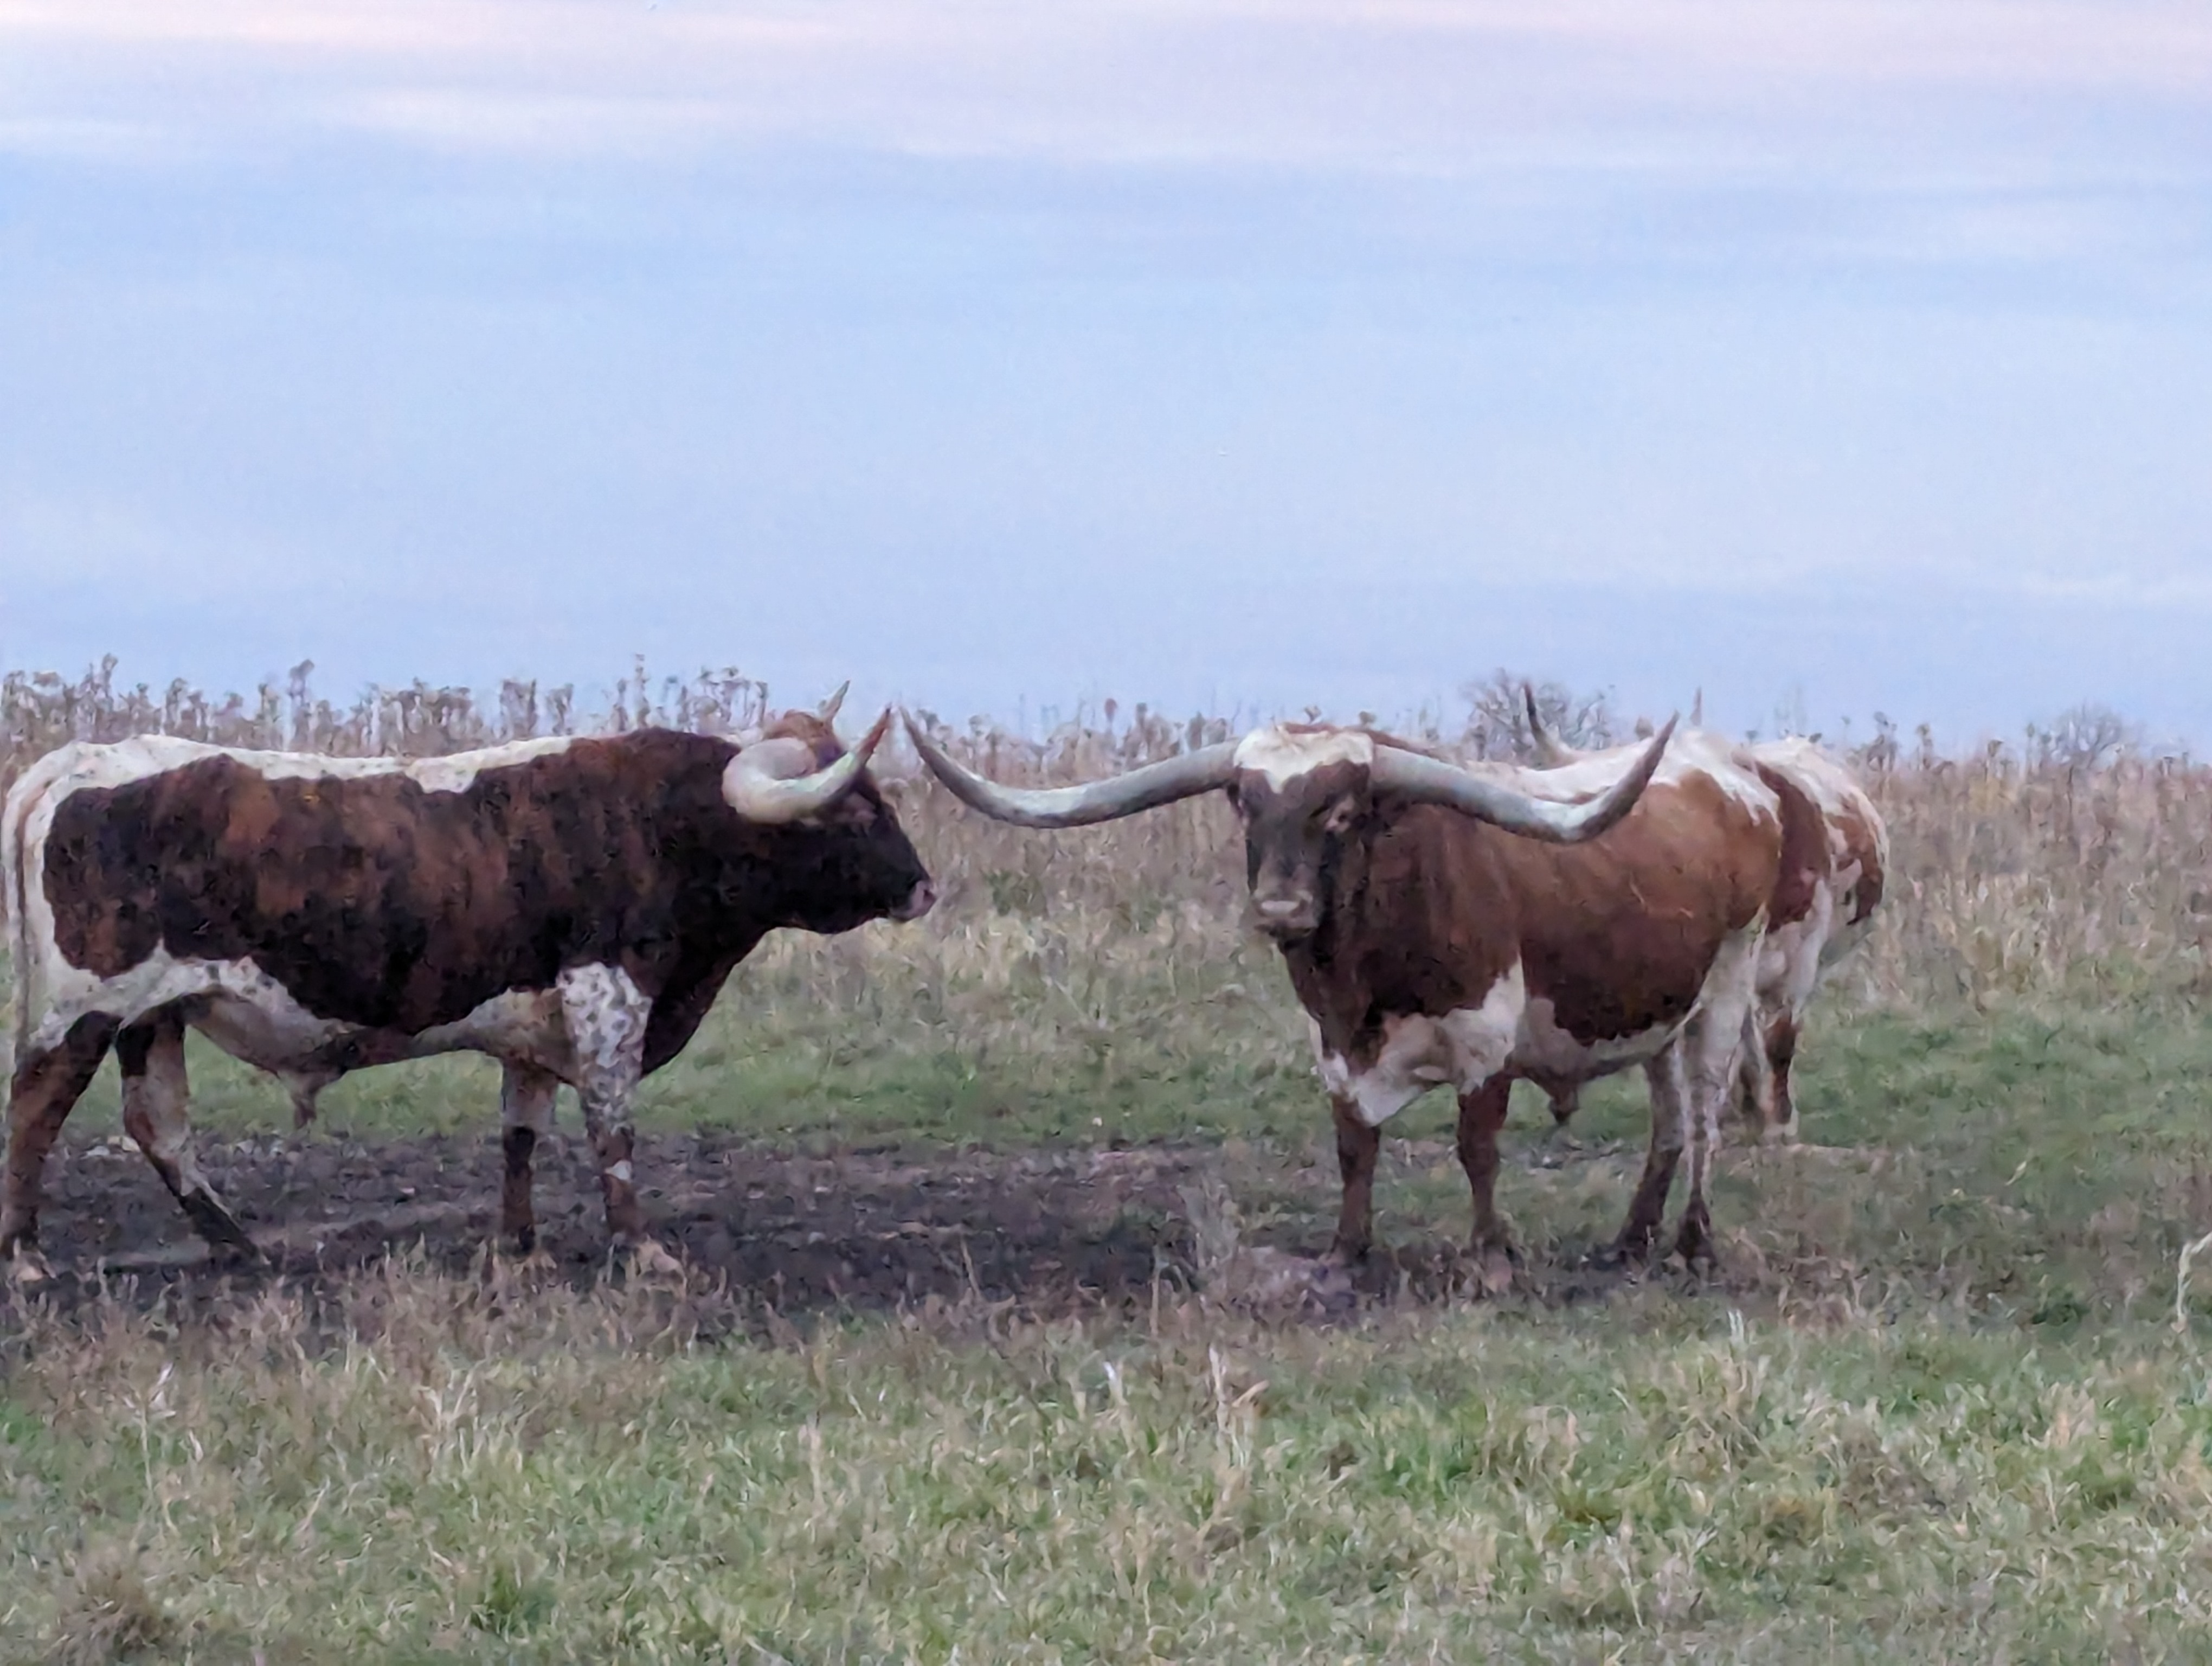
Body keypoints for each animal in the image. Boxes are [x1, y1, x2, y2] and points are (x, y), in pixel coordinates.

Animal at [1, 690, 936, 1266]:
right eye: (857, 809)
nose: (923, 885)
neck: (664, 820)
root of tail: (80, 760)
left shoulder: (535, 1022)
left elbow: (521, 1132)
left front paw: (520, 1247)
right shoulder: (609, 995)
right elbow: (613, 1128)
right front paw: (640, 1249)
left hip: (152, 1015)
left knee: (156, 1123)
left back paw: (237, 1245)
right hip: (85, 1009)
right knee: (36, 1110)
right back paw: (27, 1257)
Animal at [902, 707, 1791, 1275]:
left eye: (1340, 811)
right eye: (1244, 802)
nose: (1280, 910)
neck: (1363, 975)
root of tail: (1737, 782)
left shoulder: (1485, 1042)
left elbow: (1477, 1150)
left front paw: (1489, 1256)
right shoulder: (1330, 1046)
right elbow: (1354, 1147)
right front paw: (1346, 1249)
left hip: (1728, 987)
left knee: (1705, 1115)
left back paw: (1694, 1244)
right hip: (1663, 1011)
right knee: (1668, 1120)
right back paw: (1630, 1241)